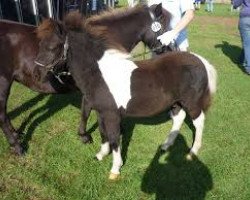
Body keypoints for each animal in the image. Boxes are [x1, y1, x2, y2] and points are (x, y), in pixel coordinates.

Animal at [0, 4, 170, 155]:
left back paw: (16, 134)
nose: (167, 50)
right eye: (163, 28)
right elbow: (87, 112)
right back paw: (16, 146)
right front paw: (86, 136)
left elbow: (87, 111)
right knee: (2, 115)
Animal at [35, 7, 217, 180]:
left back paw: (192, 152)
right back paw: (166, 146)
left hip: (192, 103)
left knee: (198, 122)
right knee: (178, 119)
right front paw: (101, 154)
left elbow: (114, 139)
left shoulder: (112, 114)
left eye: (52, 47)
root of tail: (200, 60)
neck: (100, 73)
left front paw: (115, 169)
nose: (36, 73)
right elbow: (103, 133)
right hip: (176, 102)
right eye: (41, 44)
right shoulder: (101, 112)